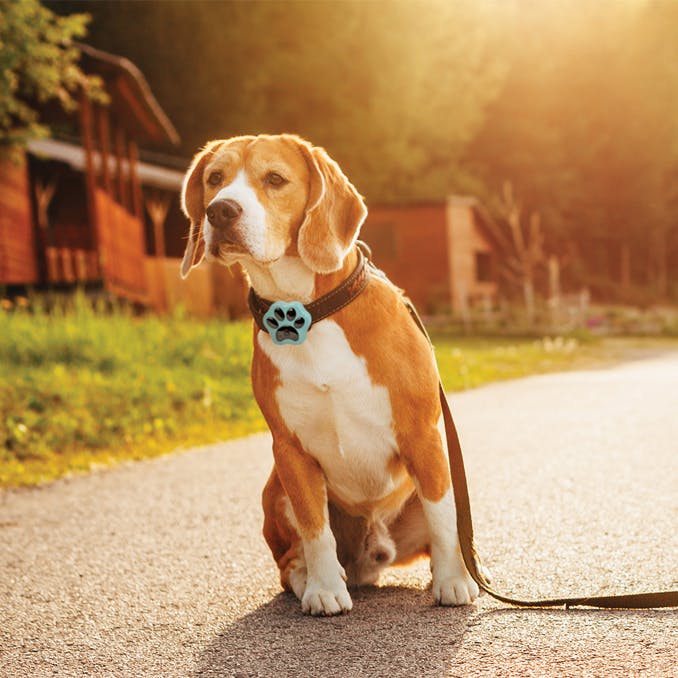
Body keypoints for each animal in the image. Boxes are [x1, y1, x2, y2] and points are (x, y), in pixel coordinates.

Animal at [181, 135, 478, 620]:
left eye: (275, 179)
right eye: (214, 178)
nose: (220, 211)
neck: (304, 311)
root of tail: (370, 557)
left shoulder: (422, 435)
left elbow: (442, 518)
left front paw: (454, 582)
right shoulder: (290, 451)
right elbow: (314, 529)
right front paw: (323, 589)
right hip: (275, 488)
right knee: (290, 560)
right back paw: (312, 577)